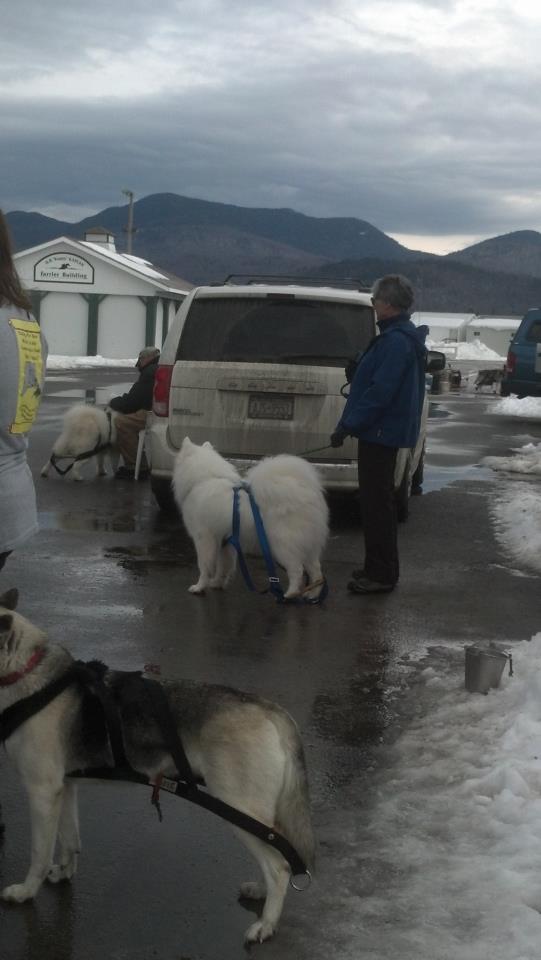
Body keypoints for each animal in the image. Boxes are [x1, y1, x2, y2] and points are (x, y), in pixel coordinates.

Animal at [0, 588, 314, 940]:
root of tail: (268, 707)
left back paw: (267, 924)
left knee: (279, 865)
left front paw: (26, 891)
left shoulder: (41, 793)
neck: (26, 669)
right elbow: (70, 840)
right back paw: (262, 891)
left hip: (237, 805)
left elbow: (39, 854)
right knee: (277, 852)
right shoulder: (64, 787)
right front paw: (66, 871)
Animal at [172, 436, 330, 600]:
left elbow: (204, 566)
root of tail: (306, 492)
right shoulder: (225, 541)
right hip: (308, 544)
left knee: (297, 570)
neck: (205, 479)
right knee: (317, 571)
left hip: (282, 544)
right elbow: (224, 566)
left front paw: (199, 587)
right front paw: (216, 583)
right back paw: (312, 595)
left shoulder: (204, 538)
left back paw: (289, 594)